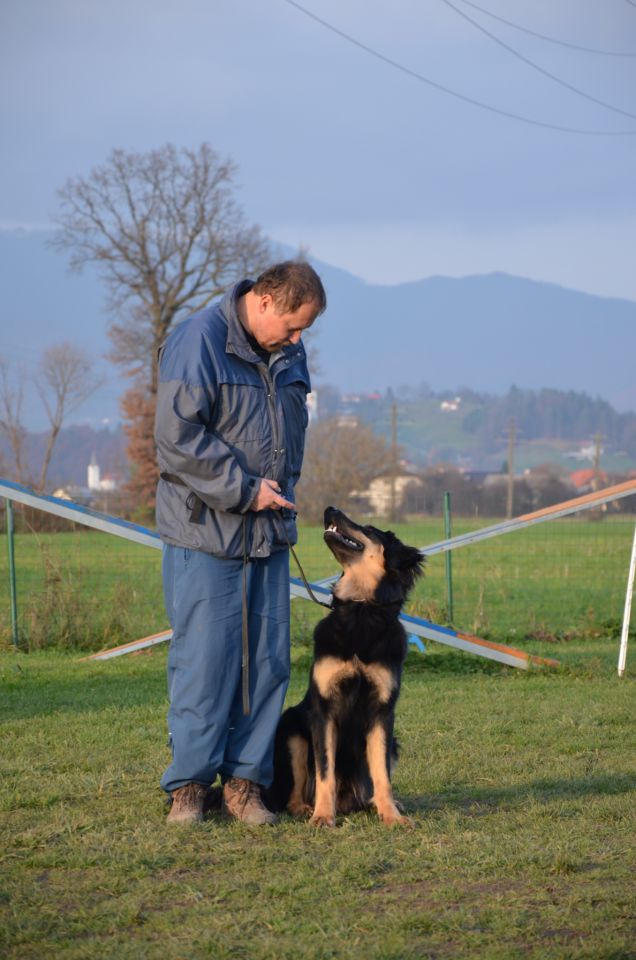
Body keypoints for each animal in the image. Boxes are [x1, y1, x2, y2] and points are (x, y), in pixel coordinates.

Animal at [266, 506, 424, 828]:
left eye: (370, 529)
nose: (331, 509)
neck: (361, 608)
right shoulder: (324, 711)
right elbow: (325, 772)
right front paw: (323, 816)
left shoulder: (382, 712)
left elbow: (382, 775)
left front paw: (391, 816)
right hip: (292, 732)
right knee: (294, 794)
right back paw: (306, 808)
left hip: (393, 743)